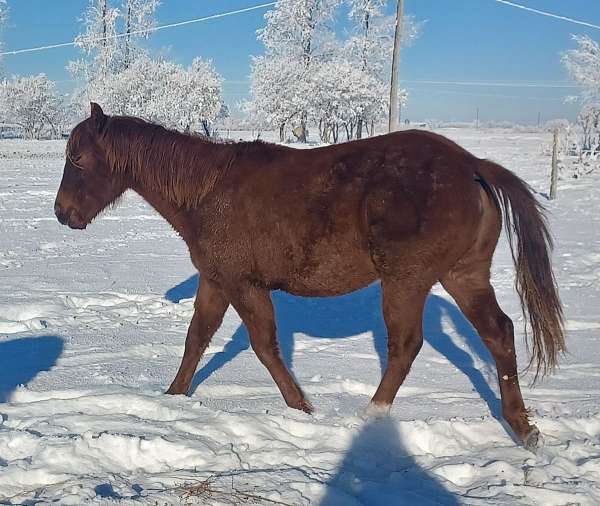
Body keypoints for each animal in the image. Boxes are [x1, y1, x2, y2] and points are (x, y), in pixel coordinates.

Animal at [54, 103, 564, 450]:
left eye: (77, 158)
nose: (62, 214)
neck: (208, 191)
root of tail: (472, 165)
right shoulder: (216, 281)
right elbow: (196, 338)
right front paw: (173, 397)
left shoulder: (244, 286)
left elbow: (264, 345)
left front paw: (302, 408)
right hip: (464, 276)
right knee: (499, 333)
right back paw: (522, 428)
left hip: (406, 281)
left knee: (405, 346)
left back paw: (373, 414)